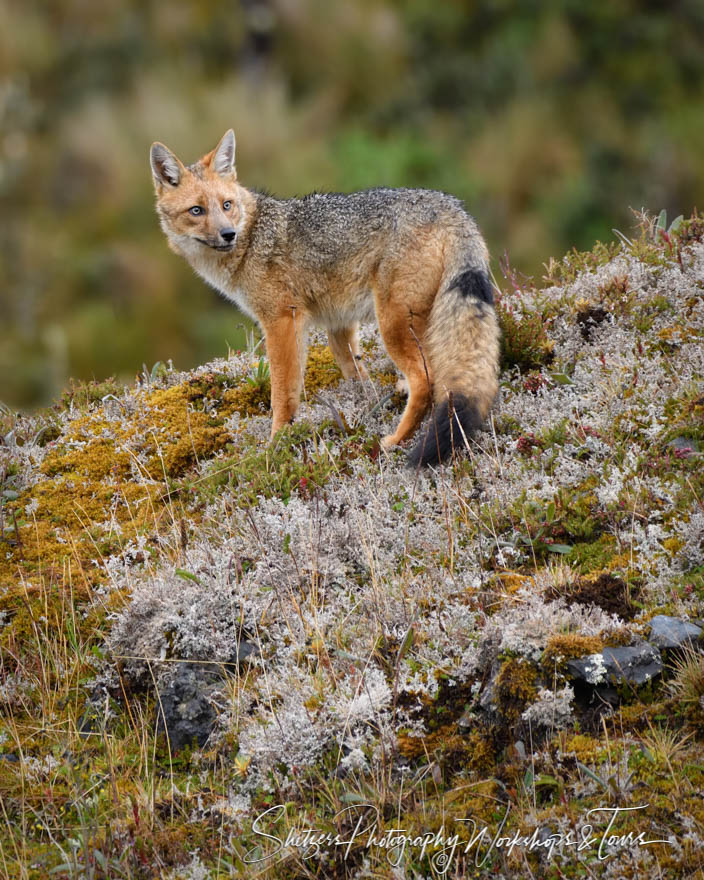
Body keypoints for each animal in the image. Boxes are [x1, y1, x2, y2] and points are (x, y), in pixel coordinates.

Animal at [150, 131, 500, 468]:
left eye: (226, 205)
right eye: (197, 211)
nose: (228, 235)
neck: (251, 239)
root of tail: (452, 206)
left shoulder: (281, 322)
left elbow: (283, 393)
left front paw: (277, 443)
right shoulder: (339, 322)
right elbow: (352, 370)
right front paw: (363, 403)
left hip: (393, 325)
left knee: (427, 381)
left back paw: (397, 440)